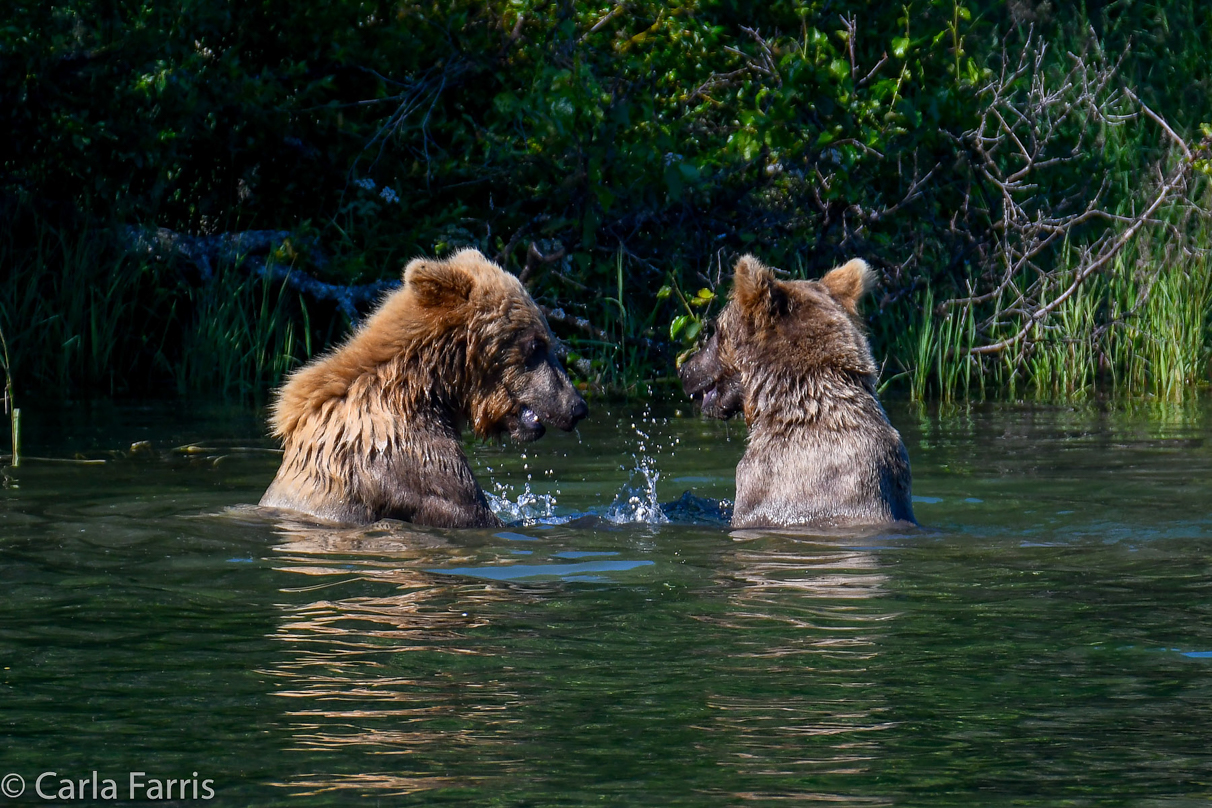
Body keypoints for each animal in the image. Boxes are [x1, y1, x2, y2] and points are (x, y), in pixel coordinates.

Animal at [260, 249, 586, 533]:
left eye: (547, 340)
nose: (577, 406)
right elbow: (469, 510)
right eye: (536, 344)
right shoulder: (410, 461)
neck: (426, 387)